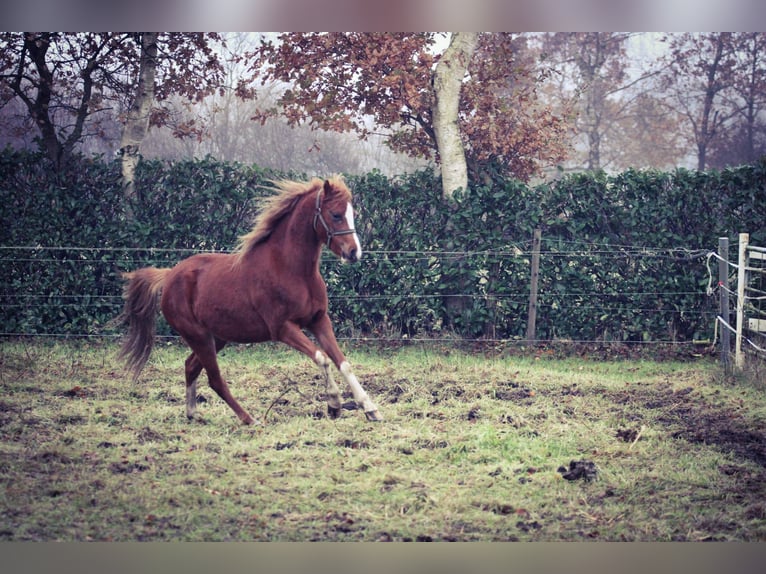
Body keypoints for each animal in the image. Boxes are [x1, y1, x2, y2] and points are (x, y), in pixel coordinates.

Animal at [118, 178, 382, 426]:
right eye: (335, 214)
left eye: (352, 214)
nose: (354, 253)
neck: (291, 269)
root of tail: (169, 275)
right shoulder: (282, 328)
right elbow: (322, 358)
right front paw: (334, 405)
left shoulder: (318, 321)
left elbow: (343, 363)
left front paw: (370, 409)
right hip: (198, 336)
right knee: (215, 379)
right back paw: (249, 419)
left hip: (217, 338)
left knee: (191, 366)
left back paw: (193, 413)